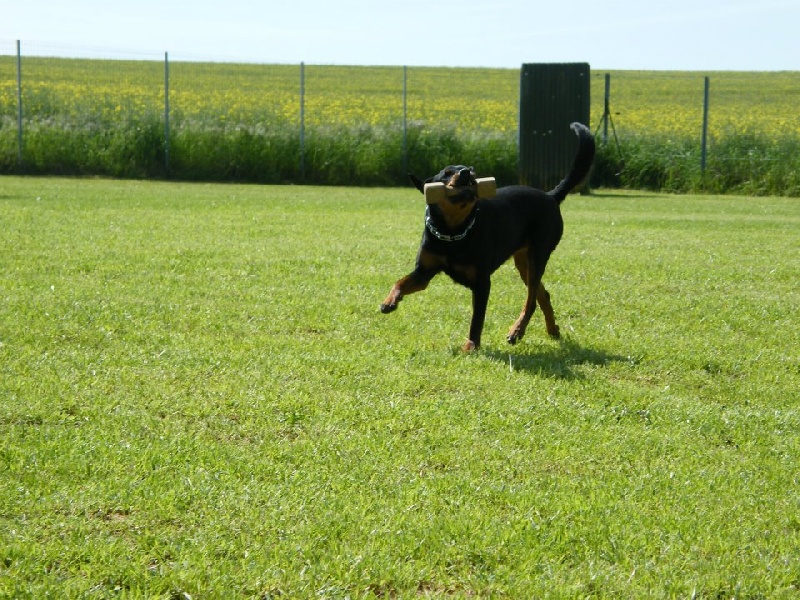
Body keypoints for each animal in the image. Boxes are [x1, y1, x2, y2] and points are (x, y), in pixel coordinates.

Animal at [380, 122, 592, 352]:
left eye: (473, 172)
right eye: (446, 173)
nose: (465, 173)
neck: (453, 231)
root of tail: (550, 196)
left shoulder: (482, 282)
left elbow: (477, 318)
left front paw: (470, 347)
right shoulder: (424, 273)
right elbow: (400, 282)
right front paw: (389, 301)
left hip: (538, 255)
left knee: (531, 300)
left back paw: (517, 331)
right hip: (523, 261)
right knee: (542, 294)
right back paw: (552, 330)